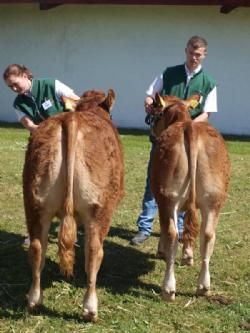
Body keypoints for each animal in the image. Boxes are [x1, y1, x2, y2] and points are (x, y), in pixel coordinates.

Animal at [23, 87, 124, 320]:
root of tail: (70, 119)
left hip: (34, 203)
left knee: (37, 247)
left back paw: (34, 301)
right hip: (99, 209)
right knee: (94, 250)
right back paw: (90, 309)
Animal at [148, 93, 230, 300]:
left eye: (155, 111)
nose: (152, 134)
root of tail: (189, 128)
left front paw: (163, 251)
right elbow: (188, 226)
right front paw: (188, 256)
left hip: (168, 198)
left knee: (172, 234)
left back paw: (168, 289)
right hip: (214, 200)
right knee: (207, 234)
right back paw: (203, 286)